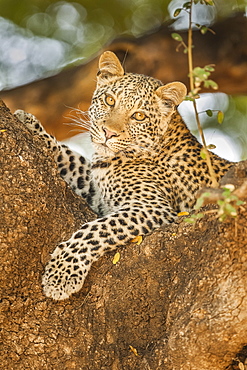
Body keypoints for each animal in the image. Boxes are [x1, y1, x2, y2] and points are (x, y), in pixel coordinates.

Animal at [14, 51, 233, 300]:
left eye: (138, 116)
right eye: (110, 101)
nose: (108, 133)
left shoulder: (152, 206)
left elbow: (97, 229)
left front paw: (61, 274)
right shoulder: (98, 190)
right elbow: (72, 160)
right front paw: (30, 124)